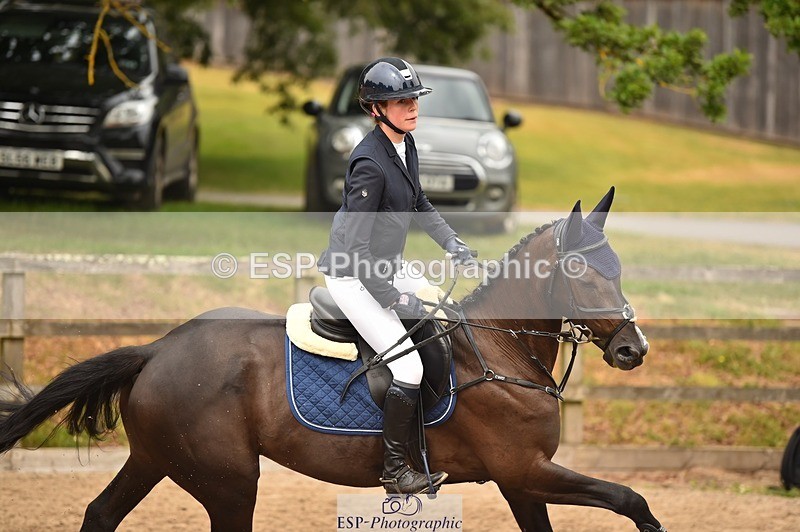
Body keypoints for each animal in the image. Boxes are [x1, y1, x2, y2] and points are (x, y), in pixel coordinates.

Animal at [0, 187, 666, 531]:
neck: (500, 349)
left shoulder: (522, 483)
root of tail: (161, 348)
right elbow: (629, 498)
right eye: (584, 271)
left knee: (99, 513)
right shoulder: (524, 471)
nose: (633, 349)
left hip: (157, 458)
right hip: (228, 482)